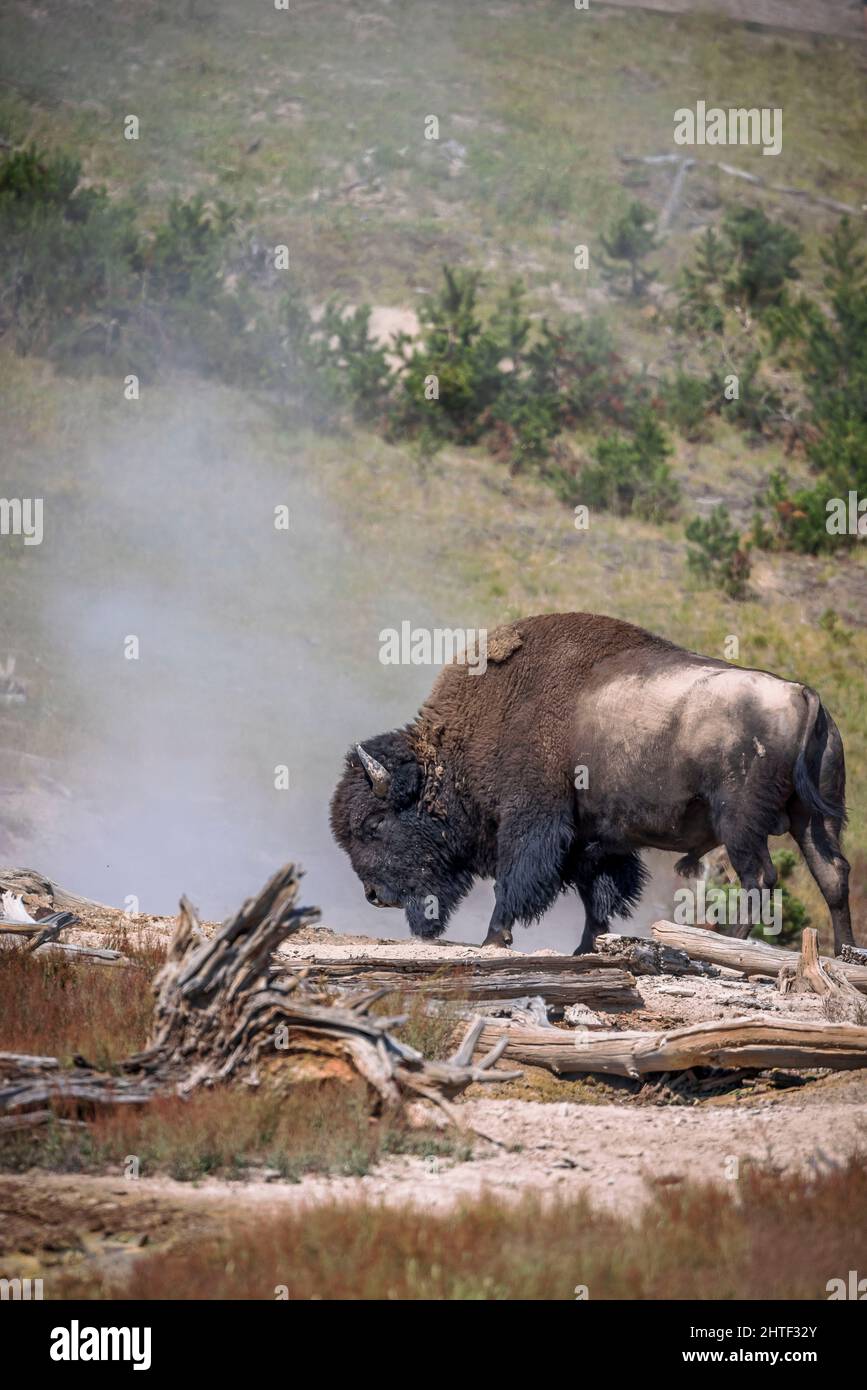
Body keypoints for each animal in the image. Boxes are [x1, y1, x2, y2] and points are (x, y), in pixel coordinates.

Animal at [330, 612, 853, 955]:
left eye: (374, 825)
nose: (374, 895)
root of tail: (802, 695)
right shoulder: (594, 840)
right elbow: (596, 895)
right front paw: (588, 948)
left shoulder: (533, 824)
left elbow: (513, 884)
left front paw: (494, 938)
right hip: (813, 820)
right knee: (833, 875)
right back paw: (845, 953)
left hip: (741, 824)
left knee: (759, 878)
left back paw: (730, 945)